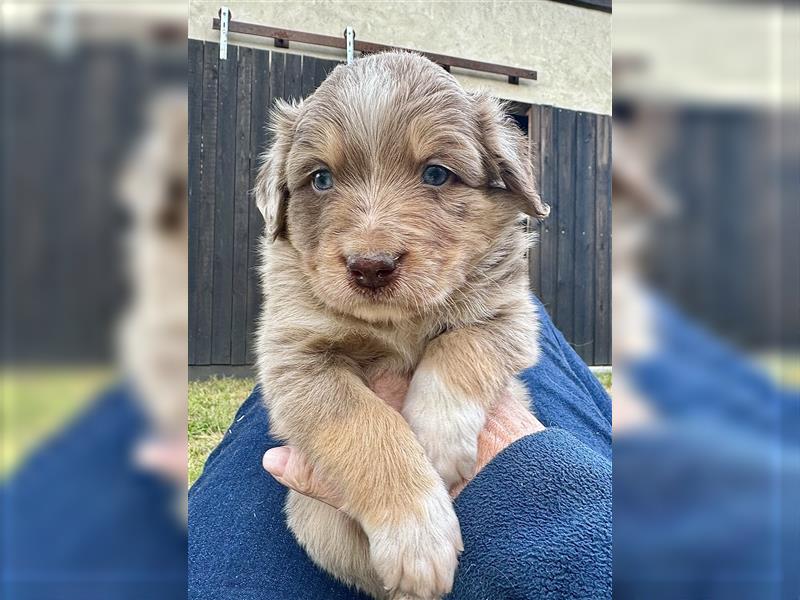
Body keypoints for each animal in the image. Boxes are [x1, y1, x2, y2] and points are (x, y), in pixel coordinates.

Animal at [256, 52, 552, 600]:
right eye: (321, 179)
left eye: (436, 173)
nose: (371, 266)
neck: (398, 322)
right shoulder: (296, 357)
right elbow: (365, 424)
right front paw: (417, 535)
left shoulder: (510, 316)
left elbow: (461, 346)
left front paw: (435, 440)